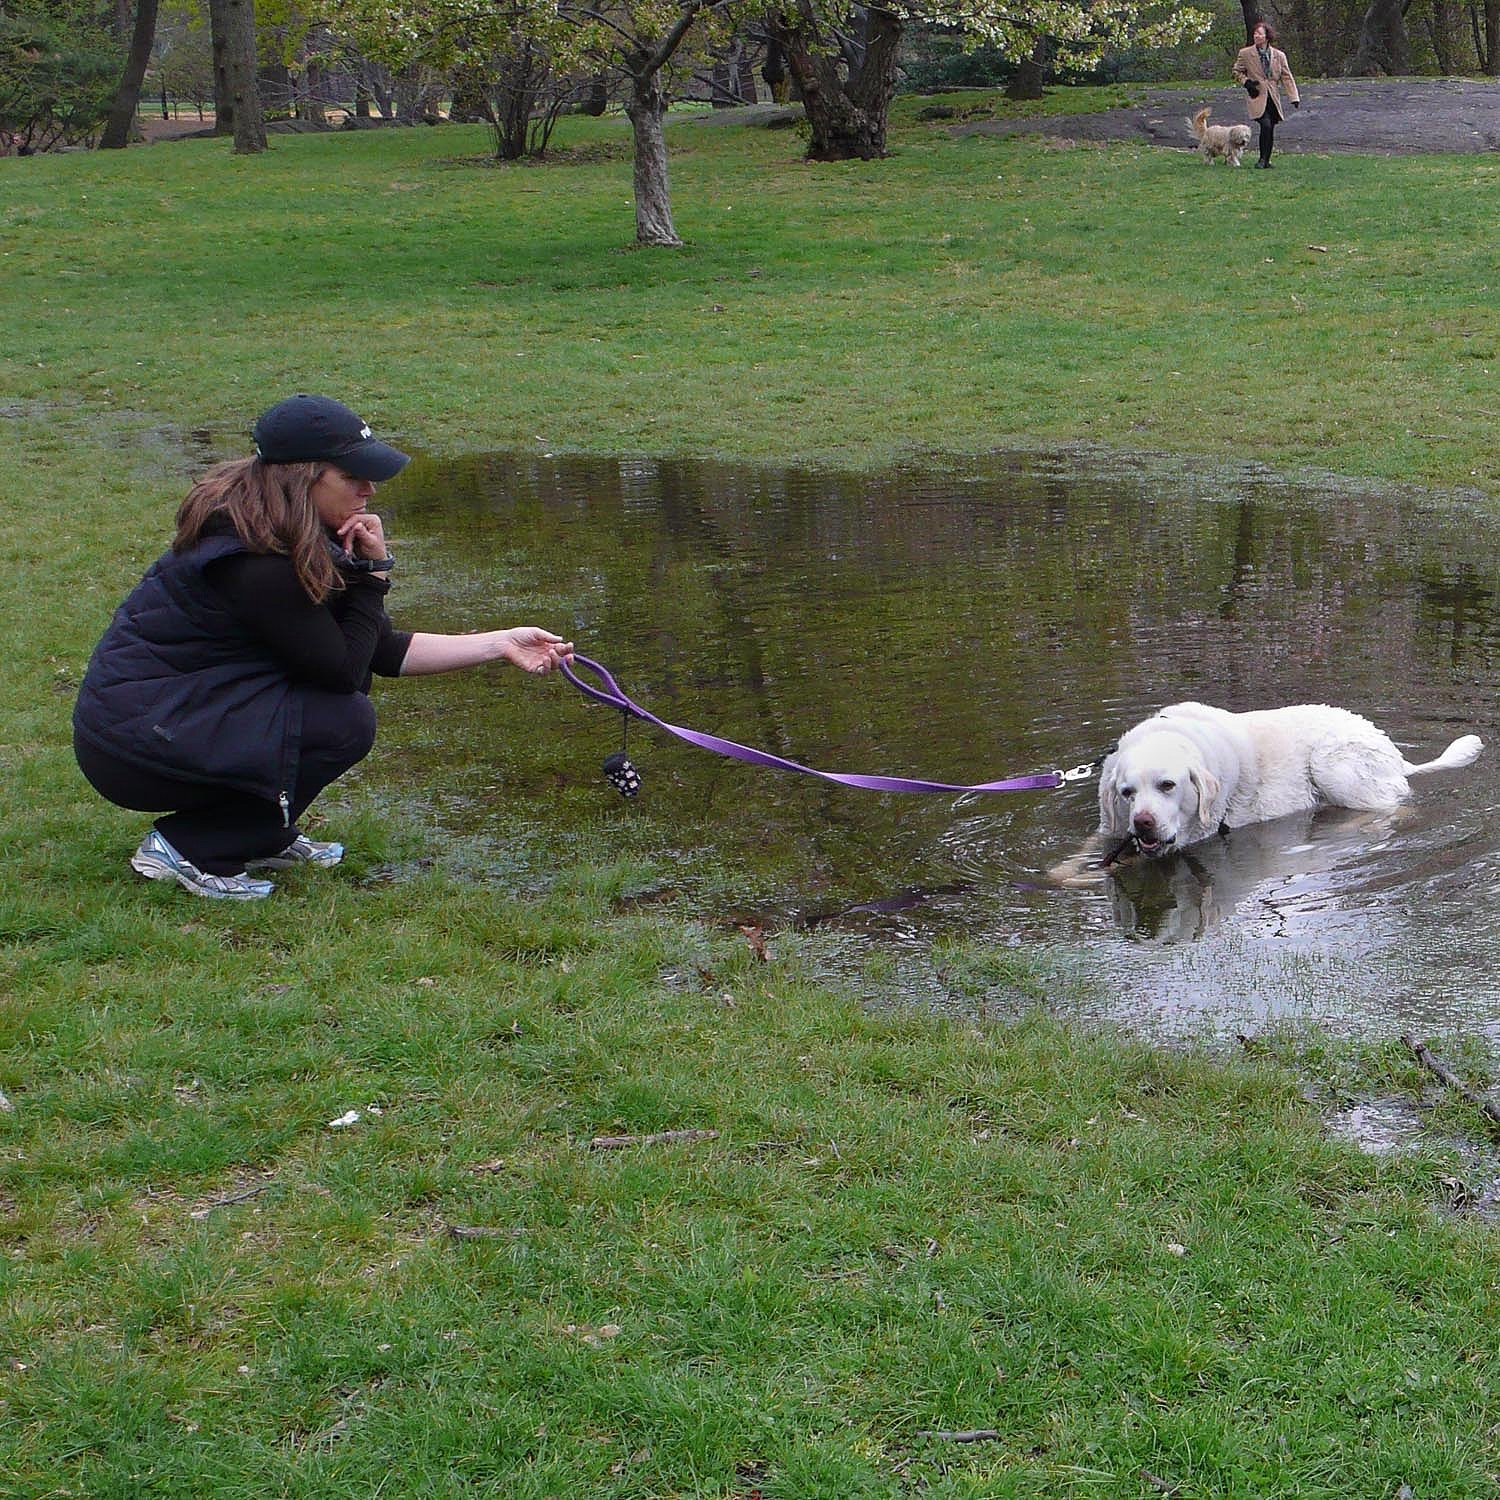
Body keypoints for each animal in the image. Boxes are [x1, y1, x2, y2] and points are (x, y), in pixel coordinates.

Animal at [1086, 705, 1482, 864]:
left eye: (1168, 785)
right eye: (1126, 793)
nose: (1143, 823)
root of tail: (1394, 752)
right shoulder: (1111, 824)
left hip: (1331, 764)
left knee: (1391, 809)